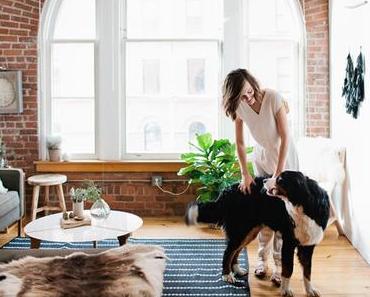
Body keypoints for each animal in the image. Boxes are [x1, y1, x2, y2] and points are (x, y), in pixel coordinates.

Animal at [188, 170, 330, 296]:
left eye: (280, 180)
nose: (265, 181)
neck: (305, 206)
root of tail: (228, 188)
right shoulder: (288, 242)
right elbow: (288, 269)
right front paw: (285, 290)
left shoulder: (308, 245)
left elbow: (308, 271)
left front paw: (310, 290)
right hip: (240, 230)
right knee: (228, 252)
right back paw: (227, 275)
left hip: (249, 232)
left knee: (235, 252)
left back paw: (237, 270)